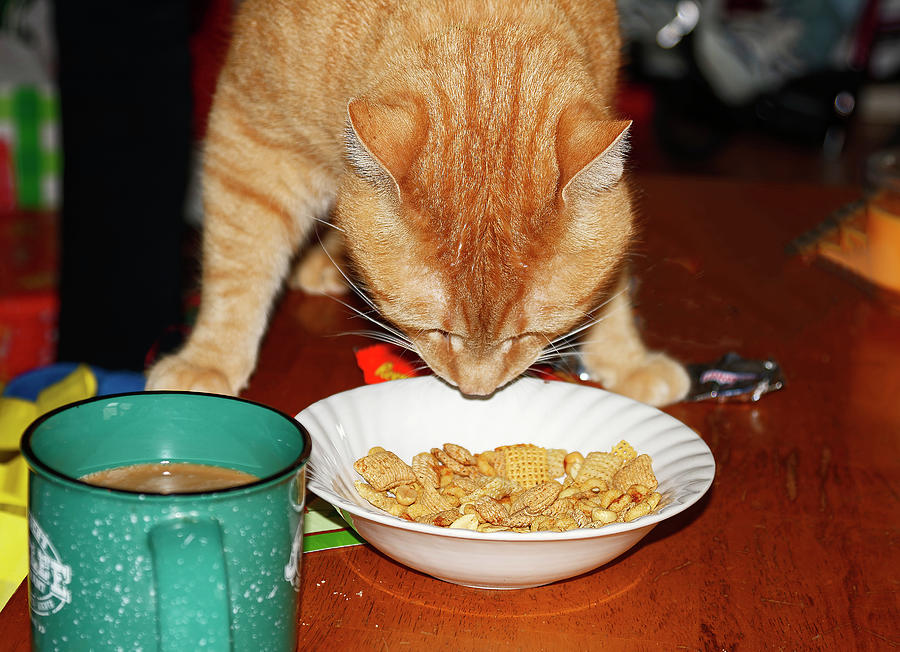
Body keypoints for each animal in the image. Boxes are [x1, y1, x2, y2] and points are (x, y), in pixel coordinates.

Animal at [146, 0, 688, 404]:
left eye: (526, 337)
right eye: (437, 331)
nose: (477, 391)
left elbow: (612, 288)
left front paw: (627, 358)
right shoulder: (253, 140)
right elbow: (238, 265)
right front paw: (210, 358)